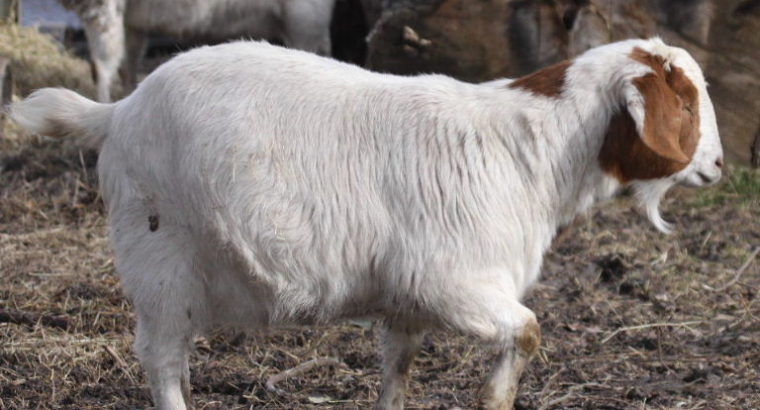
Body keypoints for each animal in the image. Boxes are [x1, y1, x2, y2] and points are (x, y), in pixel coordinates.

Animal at [10, 38, 723, 409]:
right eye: (687, 103)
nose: (717, 165)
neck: (531, 150)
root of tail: (118, 109)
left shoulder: (407, 301)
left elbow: (396, 370)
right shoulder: (452, 282)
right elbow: (526, 331)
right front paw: (495, 396)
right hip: (159, 257)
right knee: (160, 359)